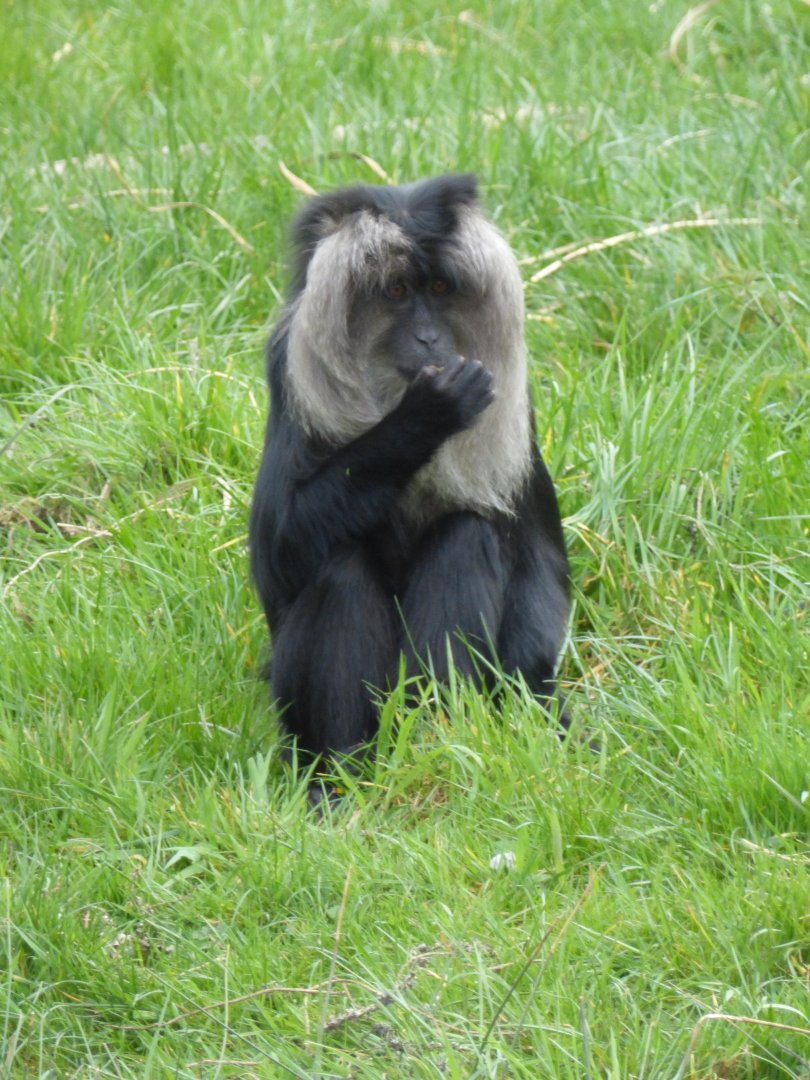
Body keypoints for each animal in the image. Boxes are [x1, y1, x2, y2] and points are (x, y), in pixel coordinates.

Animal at [249, 174, 569, 779]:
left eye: (441, 288)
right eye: (396, 292)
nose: (427, 339)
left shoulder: (518, 410)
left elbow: (542, 565)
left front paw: (539, 707)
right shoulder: (288, 378)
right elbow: (277, 556)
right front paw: (425, 417)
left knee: (466, 537)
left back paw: (435, 737)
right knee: (338, 567)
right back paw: (339, 775)